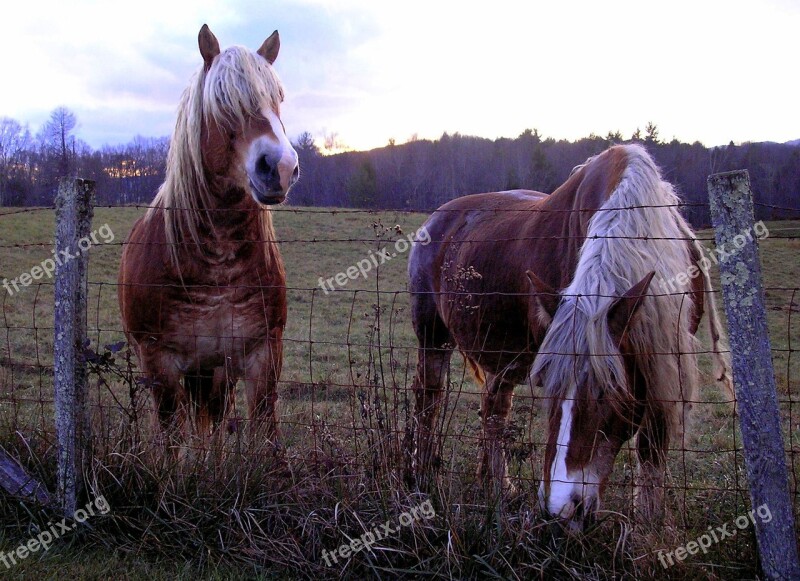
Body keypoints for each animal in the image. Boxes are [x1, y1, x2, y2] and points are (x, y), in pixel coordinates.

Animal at [122, 24, 300, 446]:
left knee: (215, 422)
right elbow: (171, 439)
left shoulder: (263, 355)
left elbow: (264, 433)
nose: (281, 166)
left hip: (216, 371)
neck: (216, 264)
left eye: (278, 99)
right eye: (222, 102)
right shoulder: (160, 362)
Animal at [410, 145, 736, 524]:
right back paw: (422, 474)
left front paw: (648, 521)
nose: (560, 509)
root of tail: (436, 218)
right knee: (429, 398)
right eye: (548, 387)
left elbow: (652, 445)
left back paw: (498, 486)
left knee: (493, 407)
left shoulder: (663, 354)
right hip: (434, 337)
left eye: (607, 394)